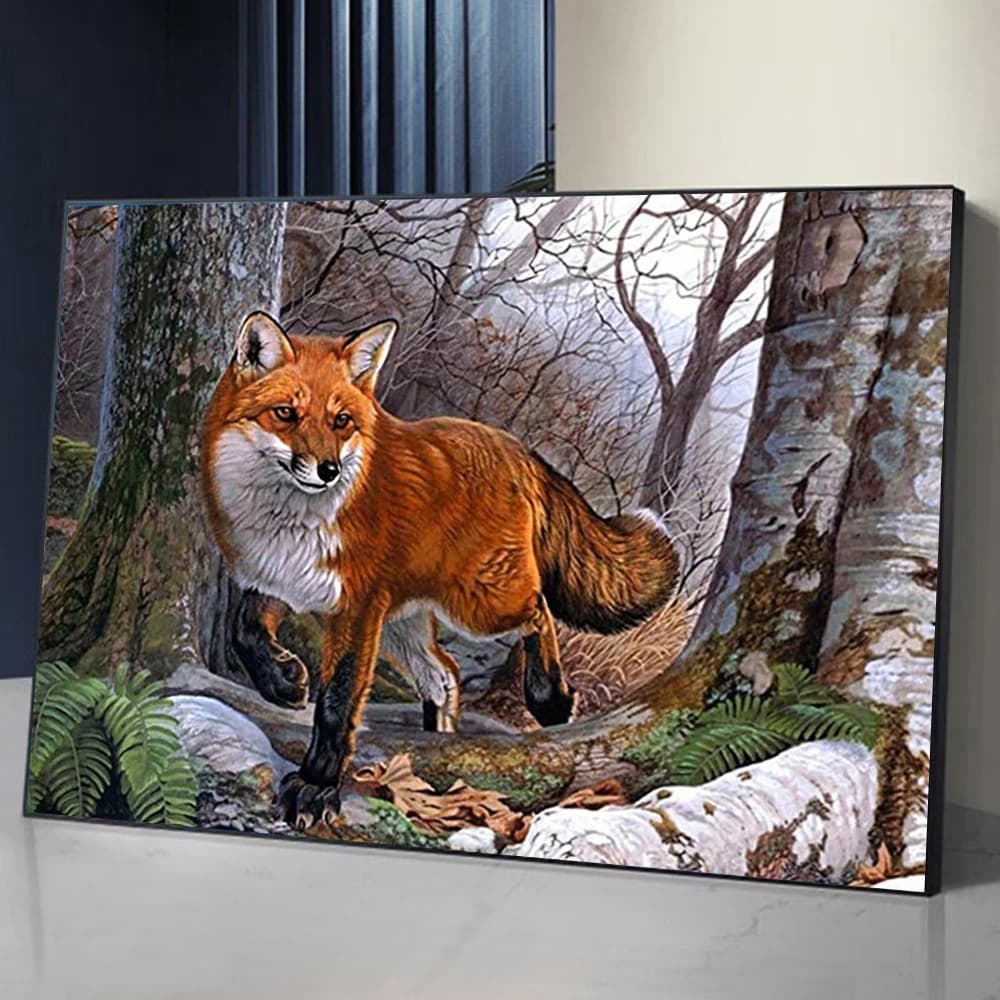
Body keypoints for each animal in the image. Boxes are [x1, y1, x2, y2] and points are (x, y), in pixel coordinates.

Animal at [200, 311, 678, 829]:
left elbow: (336, 702)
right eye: (286, 414)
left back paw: (549, 697)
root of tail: (514, 447)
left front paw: (316, 786)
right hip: (401, 621)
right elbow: (244, 629)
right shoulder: (283, 578)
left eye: (341, 421)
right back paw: (440, 743)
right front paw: (284, 682)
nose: (327, 470)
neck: (290, 522)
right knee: (443, 674)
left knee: (538, 611)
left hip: (478, 604)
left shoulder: (355, 607)